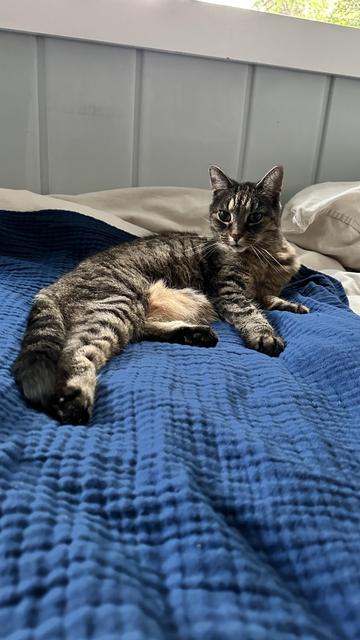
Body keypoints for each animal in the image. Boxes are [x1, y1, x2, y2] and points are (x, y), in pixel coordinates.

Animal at [13, 165, 306, 424]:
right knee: (76, 351)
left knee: (139, 330)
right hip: (119, 303)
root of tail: (51, 287)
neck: (266, 256)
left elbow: (268, 299)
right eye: (225, 215)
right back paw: (74, 399)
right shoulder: (229, 291)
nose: (234, 236)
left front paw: (292, 306)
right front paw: (265, 334)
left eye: (255, 217)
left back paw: (195, 334)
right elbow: (250, 311)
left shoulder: (264, 289)